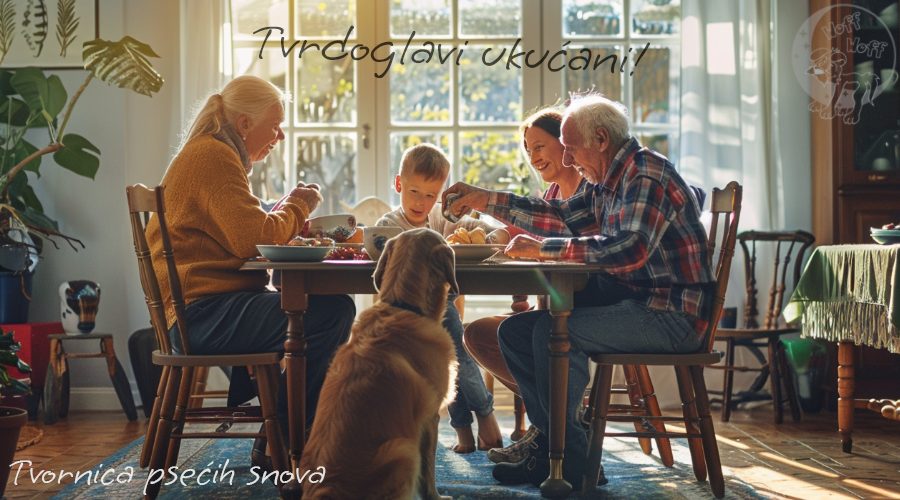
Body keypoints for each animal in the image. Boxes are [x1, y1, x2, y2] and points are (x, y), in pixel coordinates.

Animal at [300, 229, 458, 498]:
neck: (403, 305)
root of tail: (324, 489)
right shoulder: (430, 418)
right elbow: (429, 472)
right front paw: (436, 496)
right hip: (403, 450)